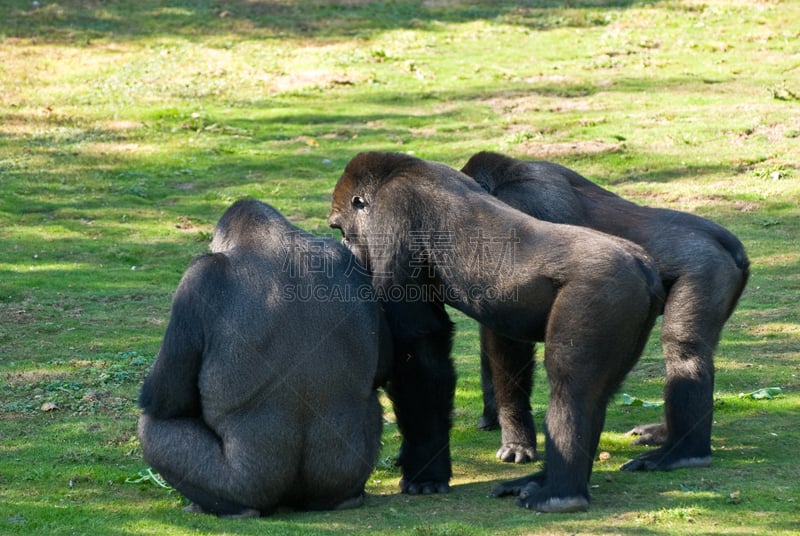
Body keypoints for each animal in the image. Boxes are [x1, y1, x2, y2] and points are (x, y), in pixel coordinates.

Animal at [138, 199, 394, 516]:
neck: (271, 240)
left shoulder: (199, 277)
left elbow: (165, 398)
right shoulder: (346, 258)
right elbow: (384, 365)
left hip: (247, 485)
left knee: (153, 427)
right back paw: (346, 499)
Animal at [326, 153, 664, 512]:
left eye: (341, 229)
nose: (347, 248)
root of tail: (642, 265)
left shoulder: (393, 216)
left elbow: (416, 345)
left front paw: (425, 470)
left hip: (601, 290)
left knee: (572, 387)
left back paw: (560, 492)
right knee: (595, 395)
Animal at [462, 149, 752, 472]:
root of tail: (733, 248)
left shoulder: (520, 206)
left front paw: (516, 435)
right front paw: (492, 413)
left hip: (708, 271)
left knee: (685, 350)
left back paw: (684, 452)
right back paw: (665, 434)